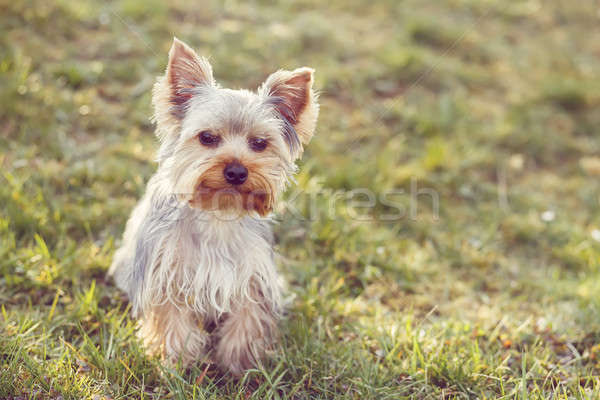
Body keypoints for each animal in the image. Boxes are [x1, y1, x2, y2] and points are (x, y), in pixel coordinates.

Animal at [110, 37, 322, 376]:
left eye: (259, 143)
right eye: (207, 137)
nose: (236, 171)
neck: (218, 213)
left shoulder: (253, 276)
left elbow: (247, 318)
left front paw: (241, 365)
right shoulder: (167, 274)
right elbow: (172, 321)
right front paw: (176, 362)